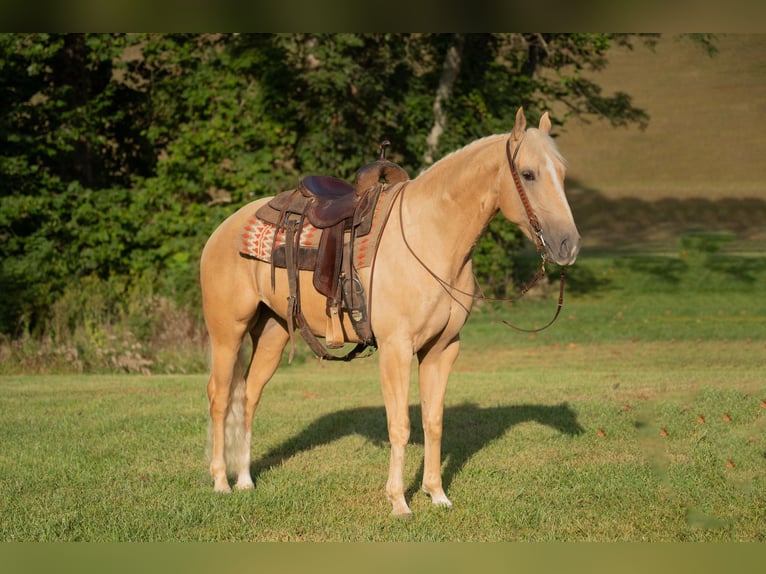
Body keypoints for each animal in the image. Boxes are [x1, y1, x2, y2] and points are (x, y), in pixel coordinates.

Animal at [200, 107, 584, 516]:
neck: (428, 236)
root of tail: (224, 228)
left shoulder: (442, 348)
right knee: (220, 397)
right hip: (228, 332)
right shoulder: (396, 349)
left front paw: (437, 493)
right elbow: (400, 424)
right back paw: (221, 482)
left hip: (273, 331)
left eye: (562, 173)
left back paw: (245, 480)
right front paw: (399, 501)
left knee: (249, 394)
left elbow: (433, 421)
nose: (568, 245)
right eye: (528, 174)